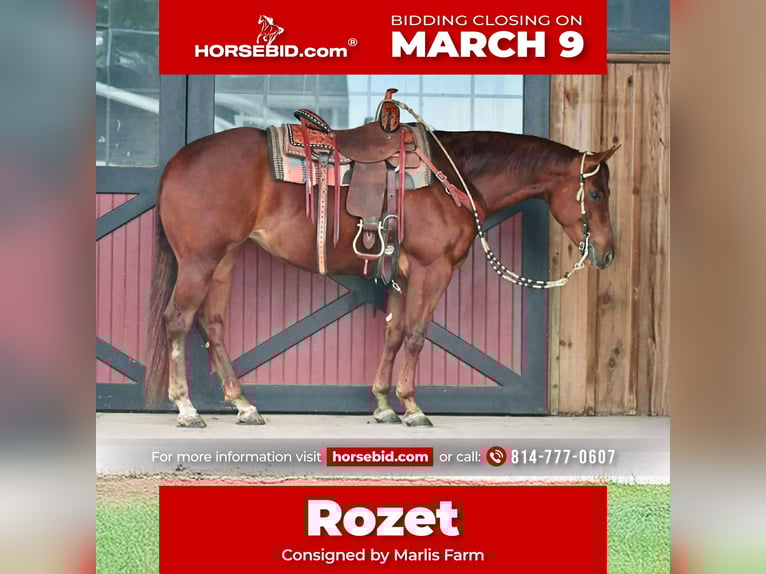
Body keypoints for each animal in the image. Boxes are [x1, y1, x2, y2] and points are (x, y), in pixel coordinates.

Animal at [143, 118, 619, 428]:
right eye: (596, 193)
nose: (607, 253)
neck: (455, 177)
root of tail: (178, 161)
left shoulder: (403, 276)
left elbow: (393, 333)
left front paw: (384, 404)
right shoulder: (432, 270)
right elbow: (416, 334)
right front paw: (413, 407)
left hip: (224, 258)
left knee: (212, 323)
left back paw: (243, 404)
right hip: (199, 261)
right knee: (178, 320)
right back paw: (186, 408)